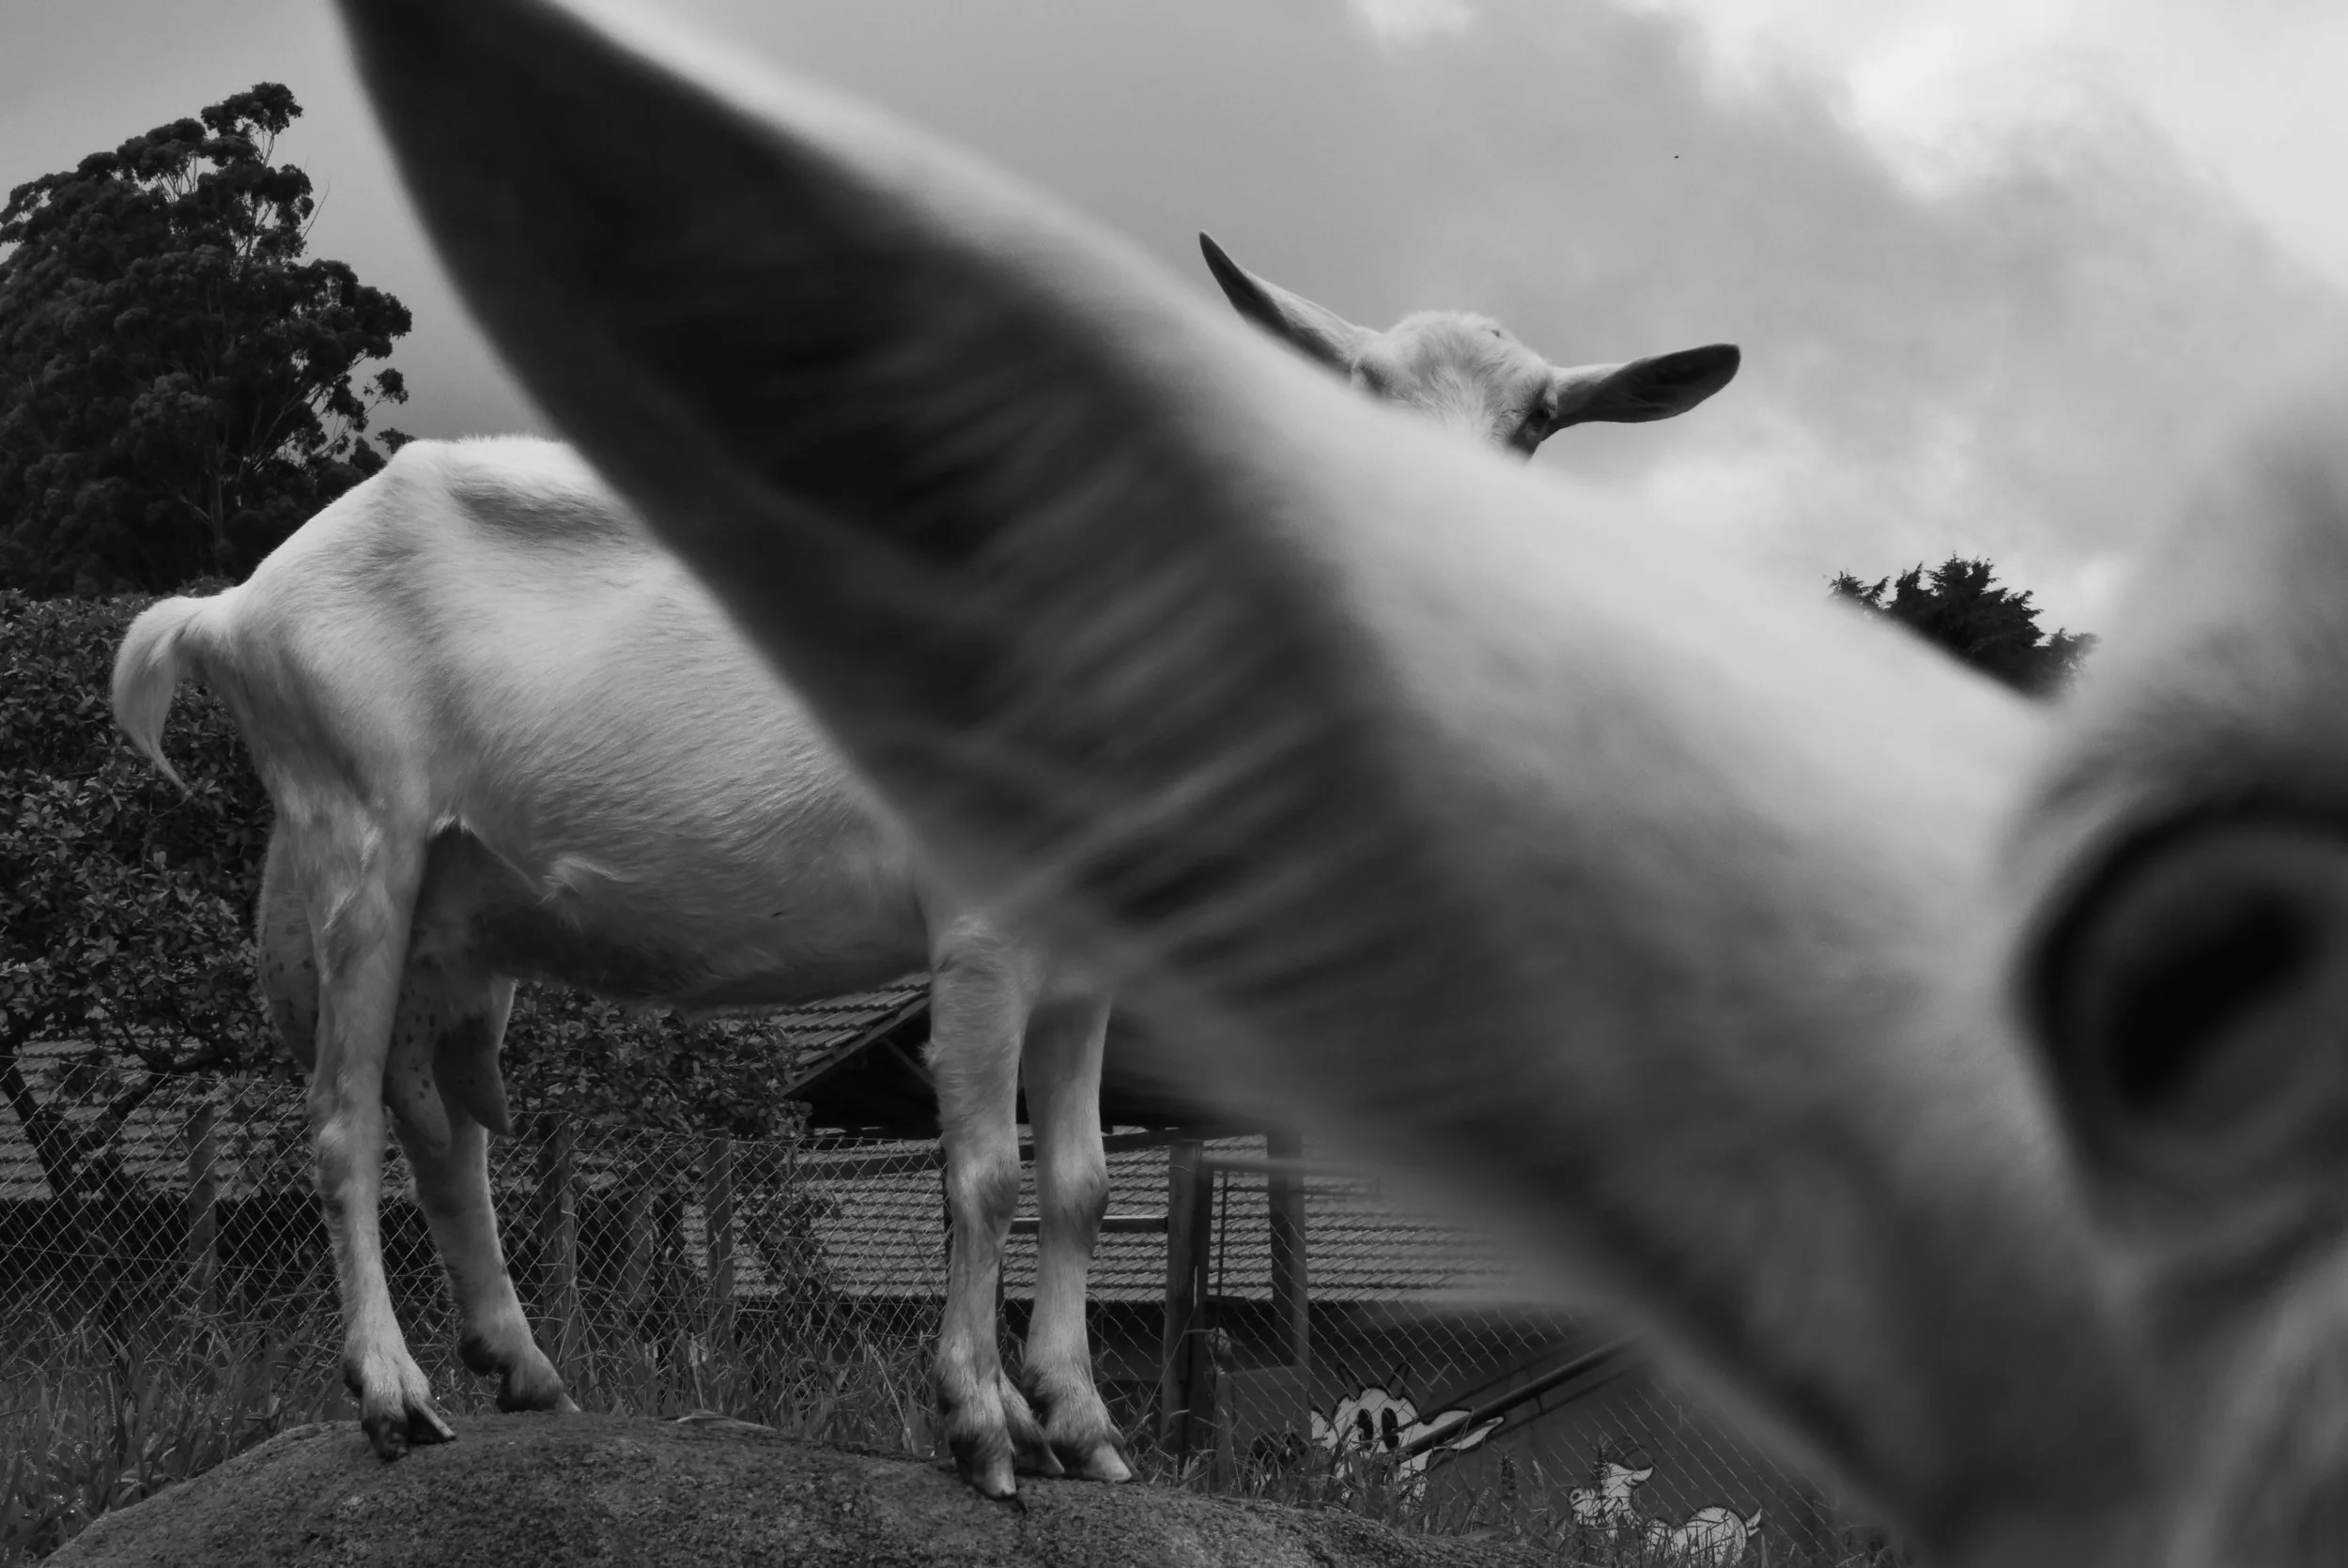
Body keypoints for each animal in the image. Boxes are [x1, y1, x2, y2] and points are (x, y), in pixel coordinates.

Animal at [110, 171, 1732, 1511]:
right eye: (1347, 395)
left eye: (1534, 424)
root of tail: (235, 602)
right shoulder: (985, 923)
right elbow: (983, 1170)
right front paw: (982, 1428)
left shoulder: (1089, 953)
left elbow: (1079, 1179)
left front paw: (1085, 1428)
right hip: (357, 841)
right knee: (341, 1120)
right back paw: (392, 1394)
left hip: (461, 913)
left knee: (442, 1127)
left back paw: (522, 1370)